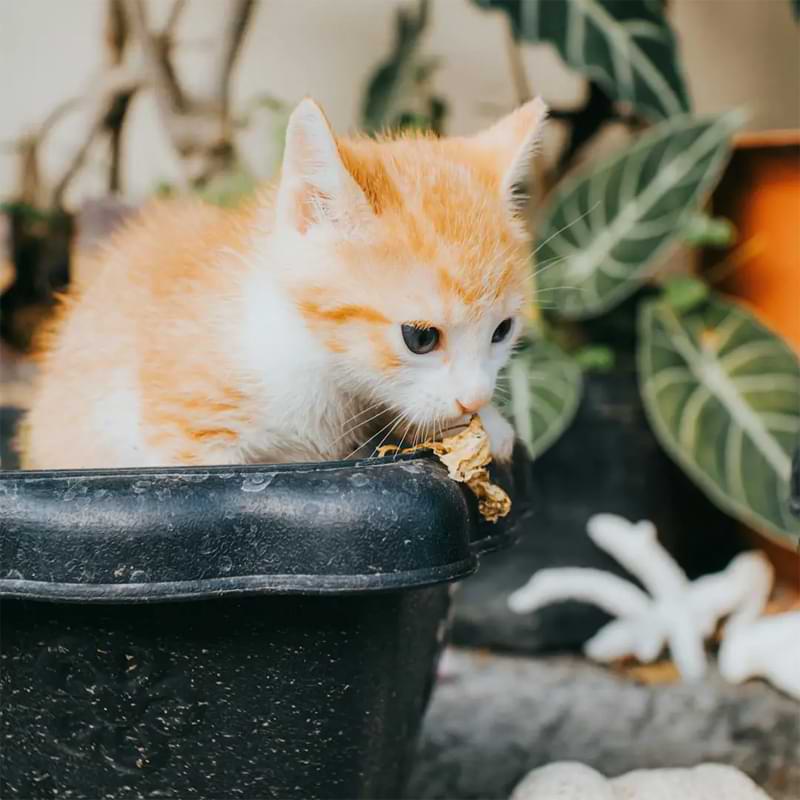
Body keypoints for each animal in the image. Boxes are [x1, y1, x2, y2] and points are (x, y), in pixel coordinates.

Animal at [18, 95, 548, 468]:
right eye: (420, 337)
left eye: (503, 331)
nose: (475, 397)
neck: (313, 358)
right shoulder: (181, 434)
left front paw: (492, 425)